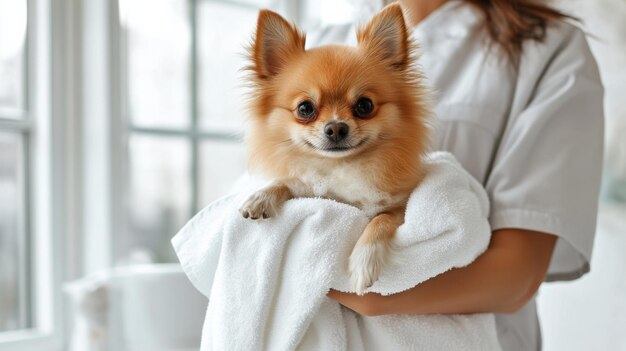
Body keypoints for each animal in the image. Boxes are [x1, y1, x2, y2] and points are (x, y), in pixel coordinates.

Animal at [239, 4, 428, 296]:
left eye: (364, 105)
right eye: (305, 108)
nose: (336, 127)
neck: (342, 166)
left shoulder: (399, 206)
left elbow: (380, 220)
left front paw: (364, 262)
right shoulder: (315, 190)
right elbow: (289, 182)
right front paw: (261, 196)